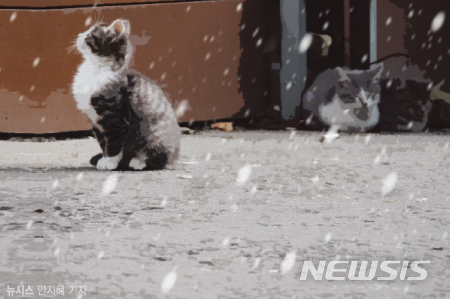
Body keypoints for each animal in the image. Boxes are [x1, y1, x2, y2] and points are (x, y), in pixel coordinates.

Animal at [72, 18, 181, 171]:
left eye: (90, 35)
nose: (79, 35)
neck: (96, 69)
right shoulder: (96, 122)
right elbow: (103, 142)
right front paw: (105, 158)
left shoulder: (113, 117)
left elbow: (113, 142)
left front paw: (109, 161)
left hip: (153, 134)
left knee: (159, 159)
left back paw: (138, 161)